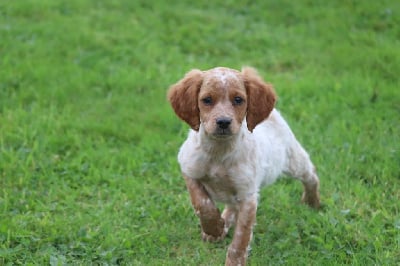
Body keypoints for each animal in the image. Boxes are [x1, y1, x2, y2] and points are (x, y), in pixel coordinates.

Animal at [167, 67, 320, 266]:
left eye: (238, 100)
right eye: (207, 100)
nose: (223, 122)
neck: (219, 151)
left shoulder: (248, 195)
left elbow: (241, 238)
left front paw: (235, 261)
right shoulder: (189, 168)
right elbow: (202, 202)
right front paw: (214, 228)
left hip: (293, 160)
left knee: (311, 176)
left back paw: (312, 201)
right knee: (231, 206)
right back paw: (223, 223)